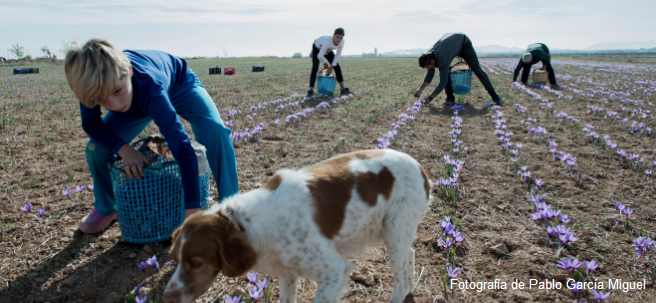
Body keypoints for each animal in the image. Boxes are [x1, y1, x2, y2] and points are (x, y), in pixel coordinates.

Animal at [163, 150, 430, 303]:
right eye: (173, 259)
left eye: (196, 263)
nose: (166, 299)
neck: (244, 223)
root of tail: (421, 167)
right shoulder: (288, 273)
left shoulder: (333, 271)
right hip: (396, 234)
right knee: (411, 254)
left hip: (394, 231)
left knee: (401, 280)